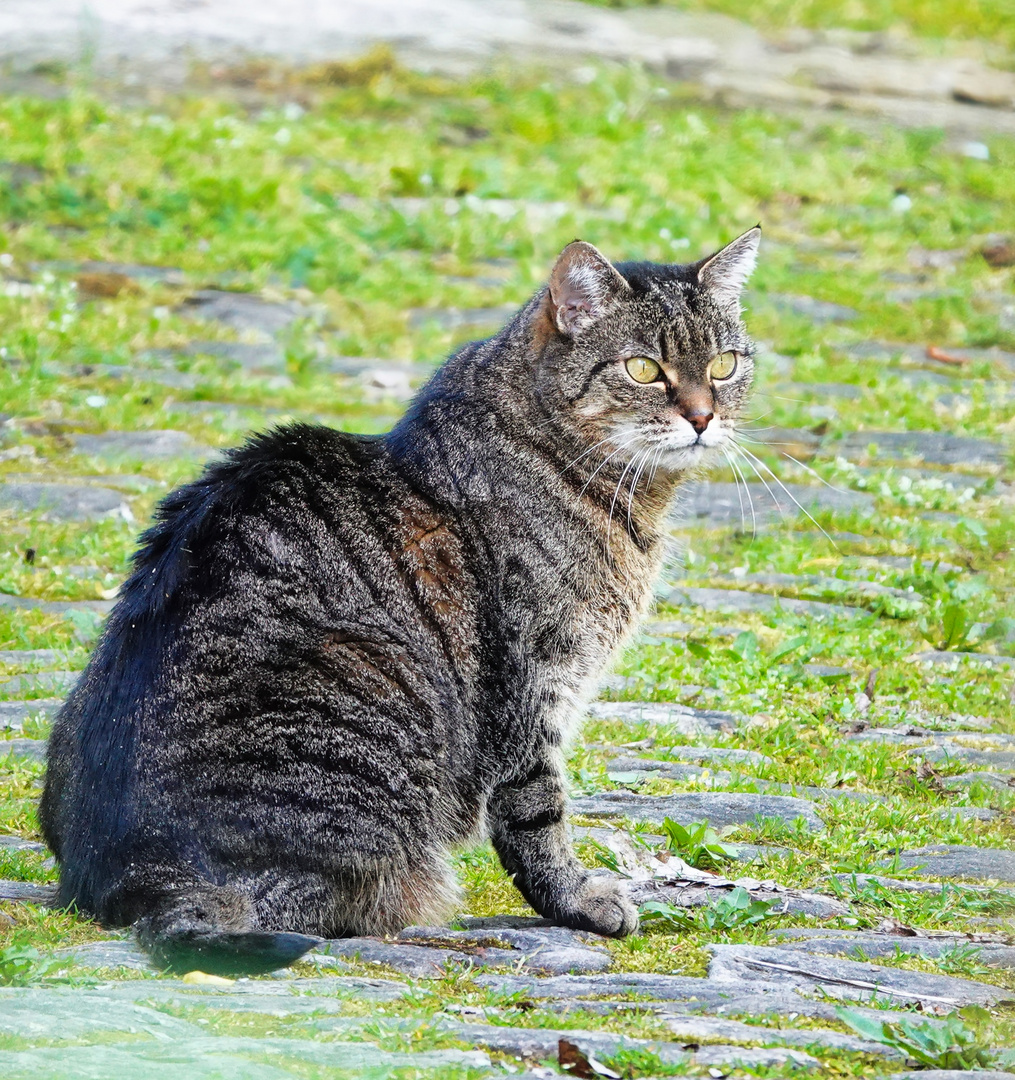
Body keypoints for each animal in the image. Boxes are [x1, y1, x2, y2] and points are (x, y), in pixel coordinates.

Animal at [41, 223, 760, 976]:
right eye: (644, 369)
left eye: (725, 364)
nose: (703, 417)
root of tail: (147, 866)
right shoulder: (535, 686)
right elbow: (537, 815)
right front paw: (578, 901)